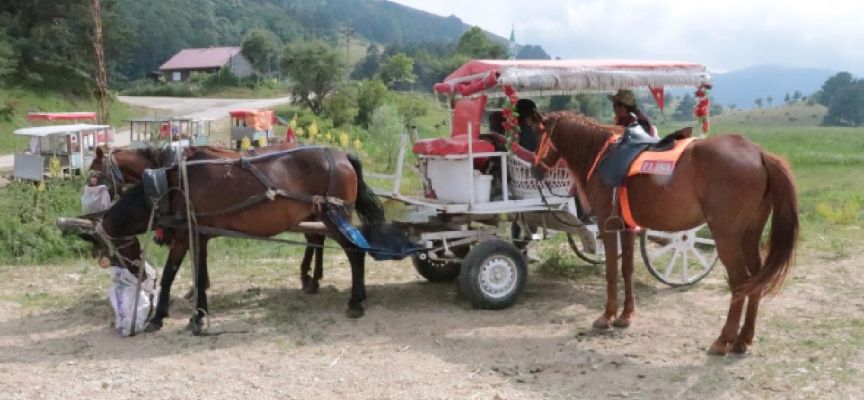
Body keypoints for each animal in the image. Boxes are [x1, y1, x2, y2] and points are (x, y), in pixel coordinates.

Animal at [89, 145, 330, 296]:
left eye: (92, 176)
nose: (92, 211)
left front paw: (197, 288)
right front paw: (200, 286)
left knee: (316, 238)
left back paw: (311, 279)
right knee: (316, 239)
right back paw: (311, 277)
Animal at [528, 110, 800, 356]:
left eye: (539, 136)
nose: (534, 170)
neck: (601, 154)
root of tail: (759, 154)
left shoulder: (607, 225)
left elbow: (611, 273)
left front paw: (607, 316)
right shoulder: (627, 227)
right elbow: (627, 269)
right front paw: (625, 315)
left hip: (726, 238)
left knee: (740, 282)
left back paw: (724, 340)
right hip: (749, 236)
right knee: (755, 279)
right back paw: (743, 339)